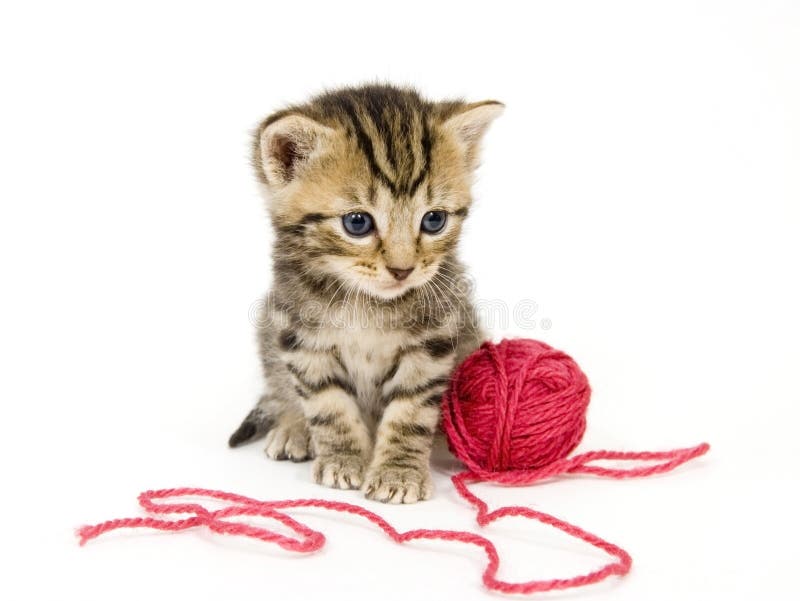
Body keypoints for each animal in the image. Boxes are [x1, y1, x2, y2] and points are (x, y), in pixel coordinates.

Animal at [228, 82, 500, 500]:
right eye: (357, 223)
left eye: (434, 220)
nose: (403, 269)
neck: (367, 301)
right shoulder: (301, 337)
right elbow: (328, 405)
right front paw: (342, 460)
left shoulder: (434, 339)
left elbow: (411, 410)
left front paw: (398, 473)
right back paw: (292, 426)